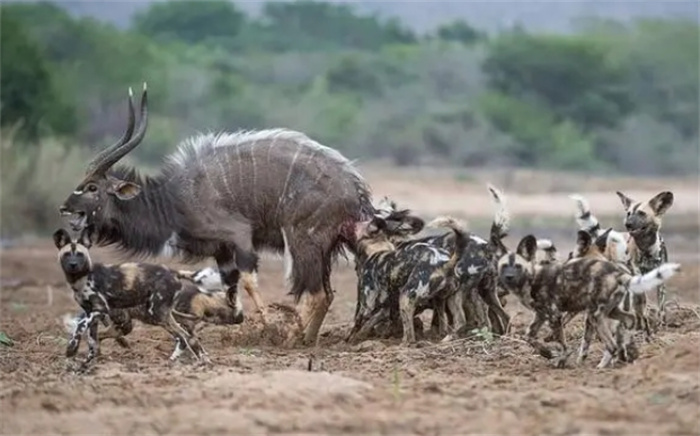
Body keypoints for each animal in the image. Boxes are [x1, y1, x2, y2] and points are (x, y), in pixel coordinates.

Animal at [52, 225, 243, 372]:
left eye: (80, 254)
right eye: (67, 254)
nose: (73, 265)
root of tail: (173, 271)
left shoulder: (98, 310)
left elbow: (81, 329)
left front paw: (72, 352)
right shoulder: (91, 313)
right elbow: (91, 340)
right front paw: (82, 363)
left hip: (152, 315)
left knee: (183, 338)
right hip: (157, 316)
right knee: (184, 338)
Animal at [494, 235, 680, 368]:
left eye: (518, 266)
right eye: (504, 266)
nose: (508, 277)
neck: (532, 277)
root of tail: (620, 274)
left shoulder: (554, 315)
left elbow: (563, 344)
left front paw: (561, 360)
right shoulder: (540, 315)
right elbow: (529, 337)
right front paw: (546, 353)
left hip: (597, 316)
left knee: (612, 345)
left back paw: (604, 366)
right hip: (610, 312)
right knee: (629, 322)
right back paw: (627, 355)